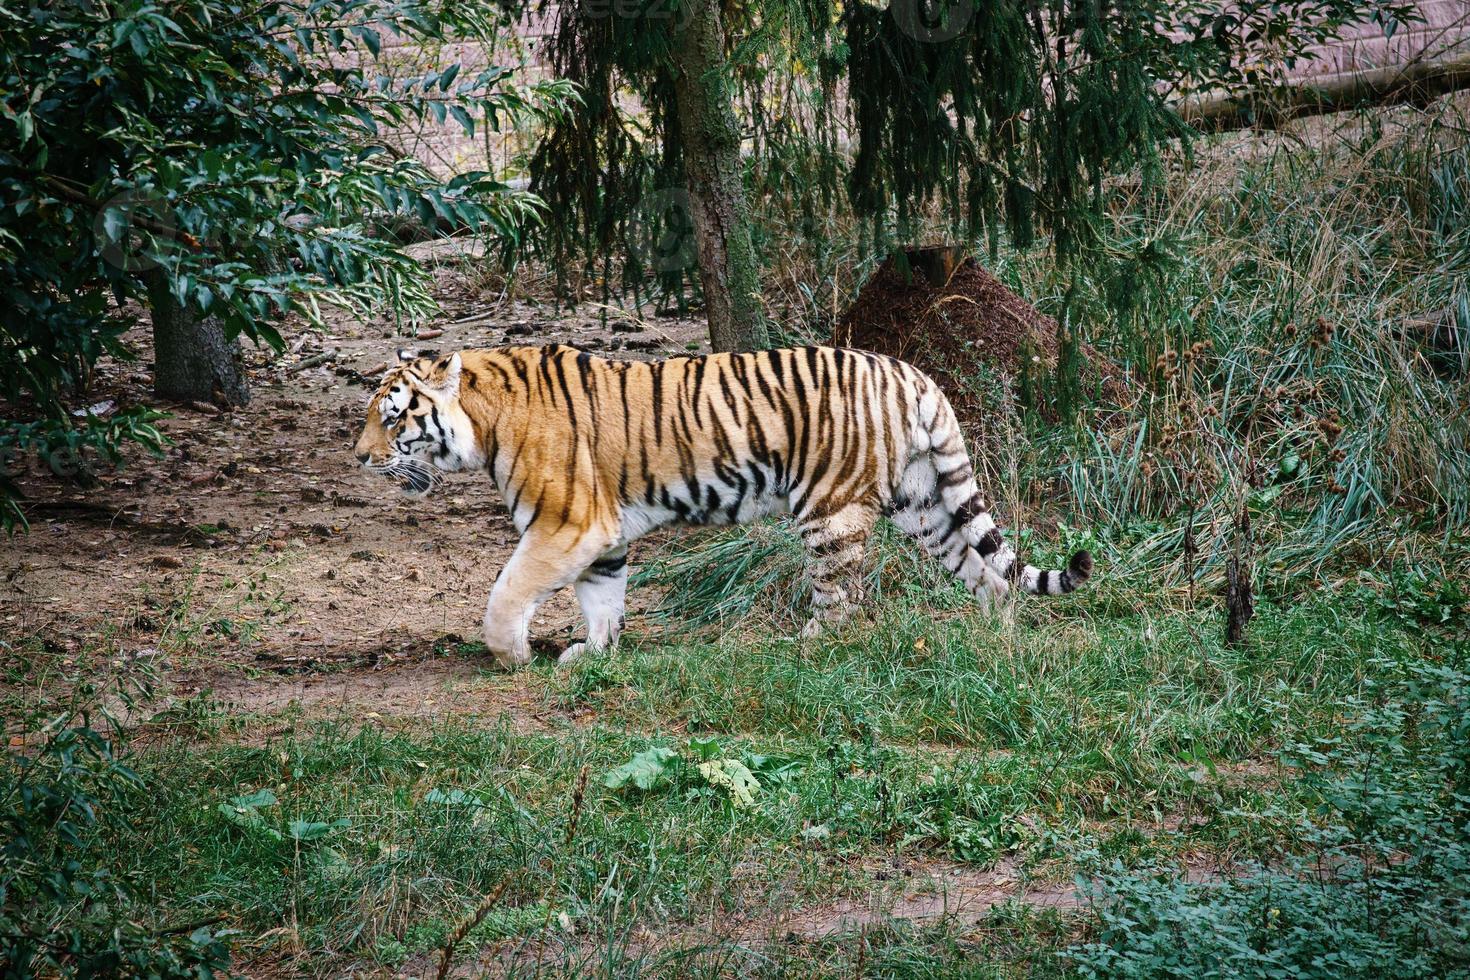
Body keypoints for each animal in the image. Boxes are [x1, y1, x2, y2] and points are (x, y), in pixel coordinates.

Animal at [355, 343, 1093, 667]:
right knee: (990, 574)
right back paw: (994, 638)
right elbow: (603, 598)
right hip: (925, 505)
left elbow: (505, 593)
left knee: (839, 597)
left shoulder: (566, 524)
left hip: (828, 509)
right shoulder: (603, 535)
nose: (359, 457)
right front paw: (592, 655)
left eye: (392, 418)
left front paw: (513, 656)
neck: (482, 422)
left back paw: (804, 648)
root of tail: (911, 373)